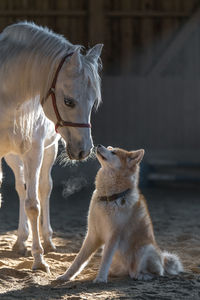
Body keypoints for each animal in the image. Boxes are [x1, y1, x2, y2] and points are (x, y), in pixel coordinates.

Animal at [0, 21, 103, 272]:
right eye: (68, 101)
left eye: (93, 102)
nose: (84, 149)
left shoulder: (35, 151)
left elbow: (34, 204)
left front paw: (38, 260)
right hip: (13, 156)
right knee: (21, 188)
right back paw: (20, 240)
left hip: (48, 150)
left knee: (44, 189)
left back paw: (46, 241)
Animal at [56, 144, 183, 282]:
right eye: (110, 148)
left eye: (114, 152)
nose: (99, 145)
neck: (109, 198)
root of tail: (163, 259)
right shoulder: (93, 234)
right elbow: (78, 260)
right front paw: (65, 276)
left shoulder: (114, 234)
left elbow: (105, 259)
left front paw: (100, 279)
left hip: (144, 249)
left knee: (154, 272)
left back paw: (141, 275)